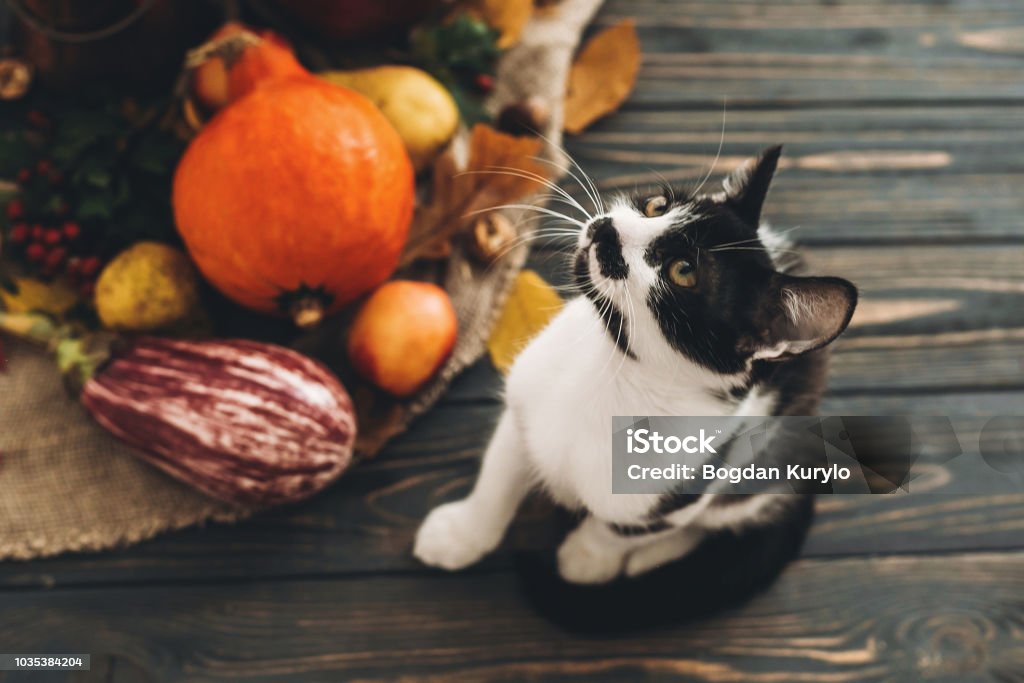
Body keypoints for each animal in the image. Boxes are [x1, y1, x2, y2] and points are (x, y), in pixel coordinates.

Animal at [411, 148, 851, 626]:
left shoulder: (686, 480)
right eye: (656, 205)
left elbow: (624, 528)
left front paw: (587, 558)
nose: (608, 228)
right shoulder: (527, 400)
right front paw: (462, 533)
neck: (613, 375)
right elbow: (498, 475)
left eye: (683, 271)